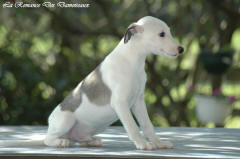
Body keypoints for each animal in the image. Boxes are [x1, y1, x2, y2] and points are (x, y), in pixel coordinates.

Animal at [0, 15, 184, 150]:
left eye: (169, 32)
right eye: (161, 34)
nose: (181, 49)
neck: (132, 61)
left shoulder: (138, 101)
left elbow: (147, 125)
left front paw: (158, 143)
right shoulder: (120, 103)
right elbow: (132, 127)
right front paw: (142, 144)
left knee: (76, 139)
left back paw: (90, 141)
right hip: (66, 120)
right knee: (48, 139)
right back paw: (60, 142)